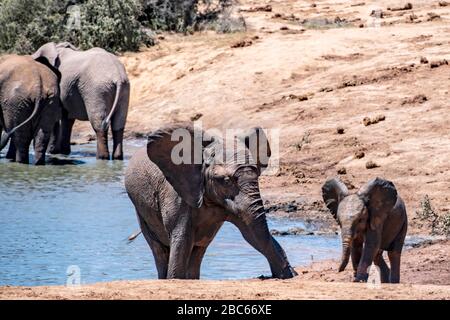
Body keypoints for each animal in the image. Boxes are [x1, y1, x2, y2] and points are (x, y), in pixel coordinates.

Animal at [125, 124, 298, 278]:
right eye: (226, 181)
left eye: (257, 176)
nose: (293, 271)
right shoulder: (177, 193)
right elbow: (182, 239)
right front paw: (174, 278)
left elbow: (251, 234)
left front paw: (288, 274)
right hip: (140, 209)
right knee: (160, 250)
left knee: (198, 251)